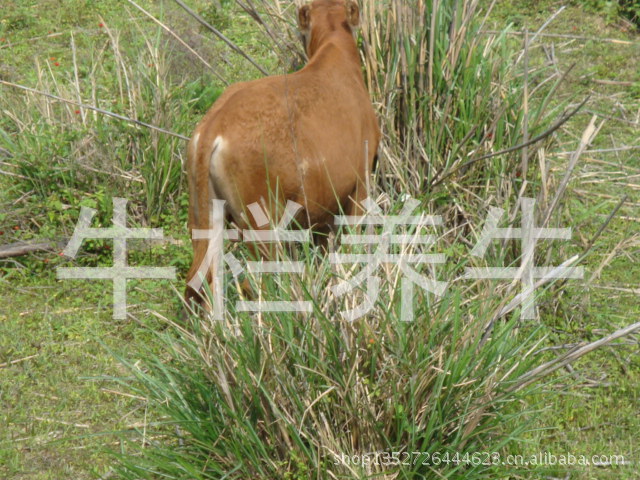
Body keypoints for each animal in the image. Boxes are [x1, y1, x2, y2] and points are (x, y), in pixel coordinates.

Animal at [185, 0, 380, 308]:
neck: (334, 45)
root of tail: (214, 125)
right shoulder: (359, 184)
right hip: (262, 220)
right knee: (258, 283)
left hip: (205, 215)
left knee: (202, 281)